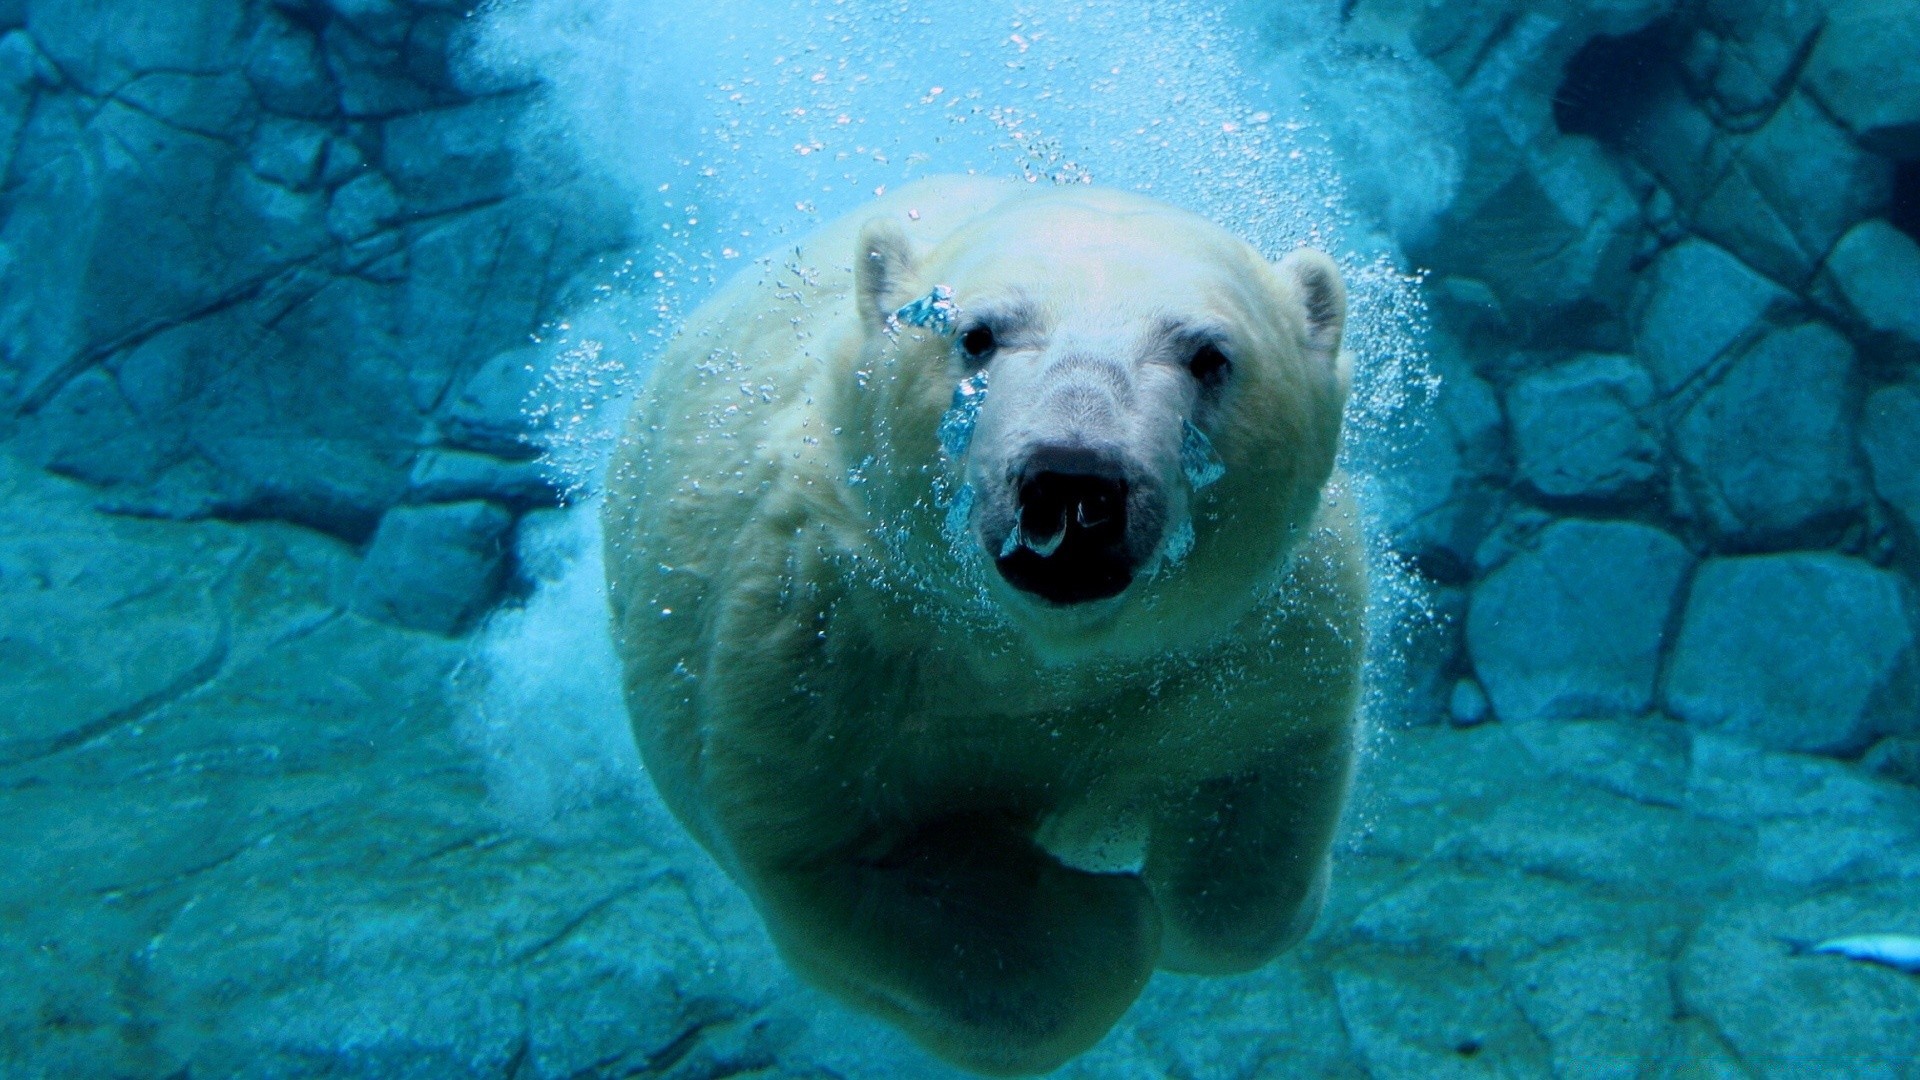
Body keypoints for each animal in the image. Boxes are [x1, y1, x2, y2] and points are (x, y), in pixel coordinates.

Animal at [599, 174, 1367, 1068]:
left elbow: (1254, 816)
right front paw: (1108, 914)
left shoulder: (1253, 636)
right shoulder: (819, 645)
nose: (1074, 481)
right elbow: (847, 858)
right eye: (975, 334)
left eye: (1210, 355)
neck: (1037, 653)